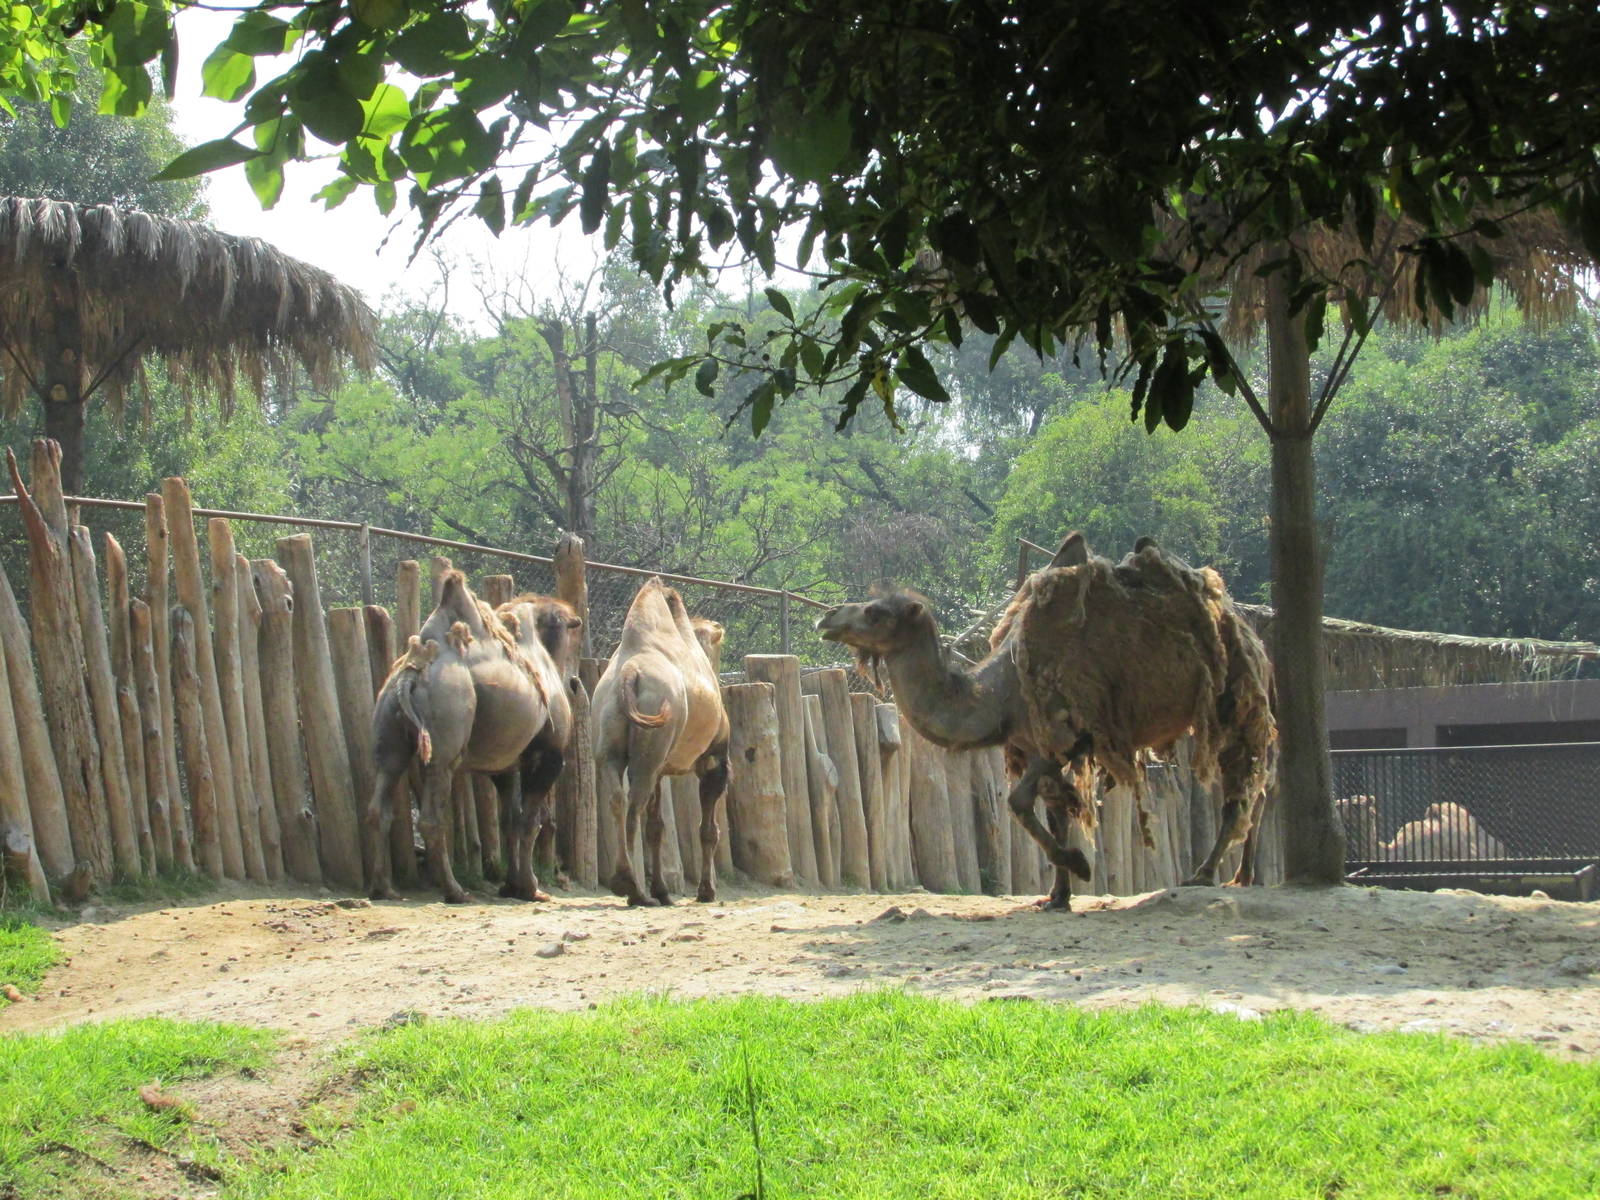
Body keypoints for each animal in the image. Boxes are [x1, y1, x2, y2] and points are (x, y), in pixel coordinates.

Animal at [367, 571, 552, 903]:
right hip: (447, 725)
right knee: (432, 815)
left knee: (380, 800)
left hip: (388, 725)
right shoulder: (549, 752)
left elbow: (510, 818)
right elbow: (531, 820)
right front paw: (531, 889)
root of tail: (411, 673)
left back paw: (383, 888)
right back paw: (455, 891)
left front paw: (512, 885)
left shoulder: (505, 763)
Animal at [591, 577, 730, 906]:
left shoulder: (661, 770)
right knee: (634, 804)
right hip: (651, 749)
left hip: (615, 745)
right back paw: (633, 888)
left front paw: (663, 890)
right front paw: (706, 891)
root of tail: (629, 673)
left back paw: (627, 883)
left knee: (617, 798)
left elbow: (657, 827)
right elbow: (708, 830)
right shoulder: (714, 761)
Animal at [818, 533, 1277, 910]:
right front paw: (1057, 896)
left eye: (876, 612)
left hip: (1232, 703)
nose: (828, 617)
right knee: (1258, 790)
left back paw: (1203, 874)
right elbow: (1056, 811)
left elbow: (1019, 802)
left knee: (1243, 789)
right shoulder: (1034, 744)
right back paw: (1242, 877)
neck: (999, 696)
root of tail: (1247, 631)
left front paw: (1079, 865)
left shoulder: (1064, 737)